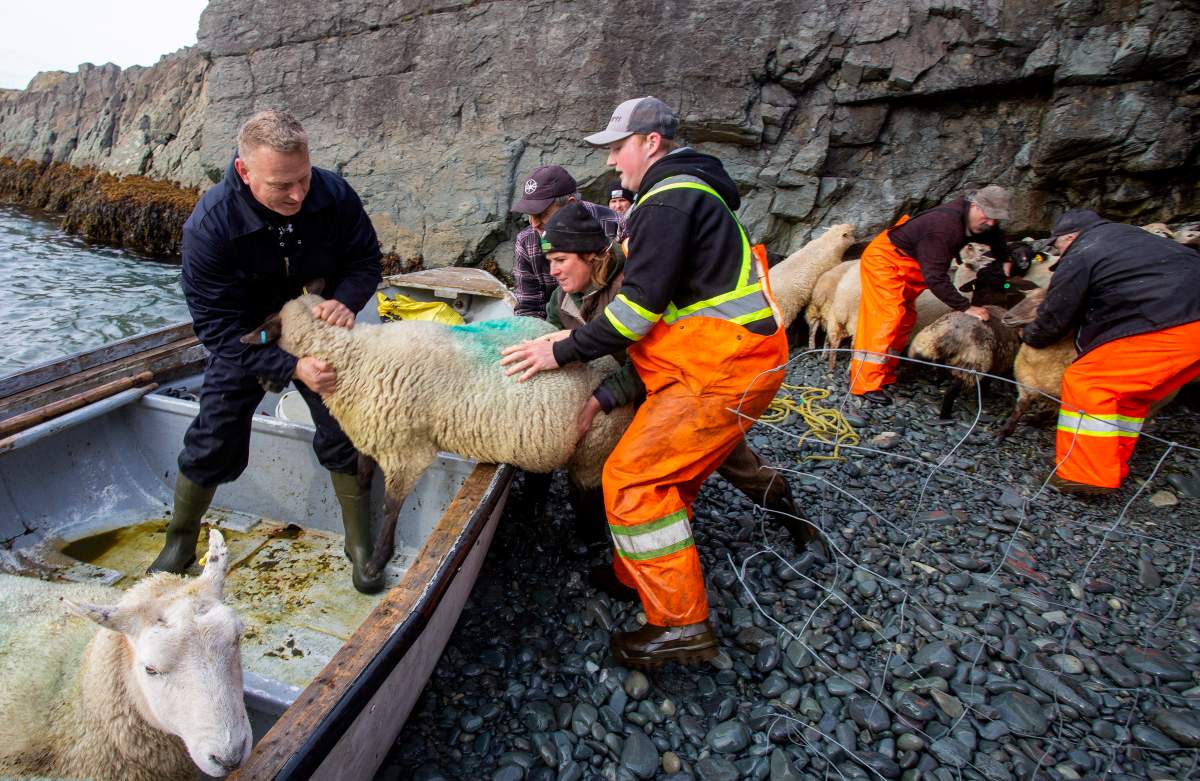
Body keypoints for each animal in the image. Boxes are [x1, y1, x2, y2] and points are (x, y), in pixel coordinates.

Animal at [243, 291, 635, 579]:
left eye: (269, 340)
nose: (261, 379)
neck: (355, 357)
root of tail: (613, 365)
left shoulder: (405, 452)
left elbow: (391, 506)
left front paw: (377, 562)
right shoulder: (370, 436)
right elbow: (363, 478)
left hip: (592, 449)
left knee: (587, 497)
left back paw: (585, 541)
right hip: (547, 442)